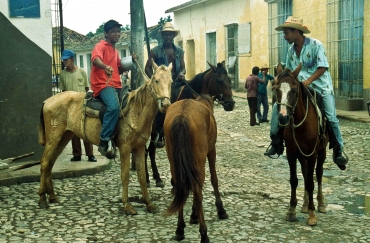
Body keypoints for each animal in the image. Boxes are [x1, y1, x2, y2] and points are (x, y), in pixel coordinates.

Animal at [36, 60, 173, 215]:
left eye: (171, 82)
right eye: (156, 80)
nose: (165, 104)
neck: (136, 110)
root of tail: (47, 101)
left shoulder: (139, 148)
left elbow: (142, 176)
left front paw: (149, 204)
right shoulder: (125, 148)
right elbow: (125, 175)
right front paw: (127, 205)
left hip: (64, 137)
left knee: (51, 163)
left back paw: (52, 196)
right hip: (53, 138)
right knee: (45, 162)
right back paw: (42, 199)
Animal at [163, 94, 227, 241]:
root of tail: (182, 116)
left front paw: (193, 215)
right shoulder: (211, 151)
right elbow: (214, 180)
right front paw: (220, 210)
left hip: (174, 161)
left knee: (180, 187)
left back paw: (180, 229)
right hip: (199, 161)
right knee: (198, 192)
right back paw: (204, 234)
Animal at [274, 63, 330, 226]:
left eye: (293, 90)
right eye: (276, 88)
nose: (283, 117)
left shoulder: (312, 154)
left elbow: (311, 182)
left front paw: (312, 214)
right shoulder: (291, 153)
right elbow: (294, 180)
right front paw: (291, 210)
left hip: (321, 152)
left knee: (318, 174)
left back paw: (320, 204)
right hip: (301, 153)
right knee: (305, 173)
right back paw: (304, 204)